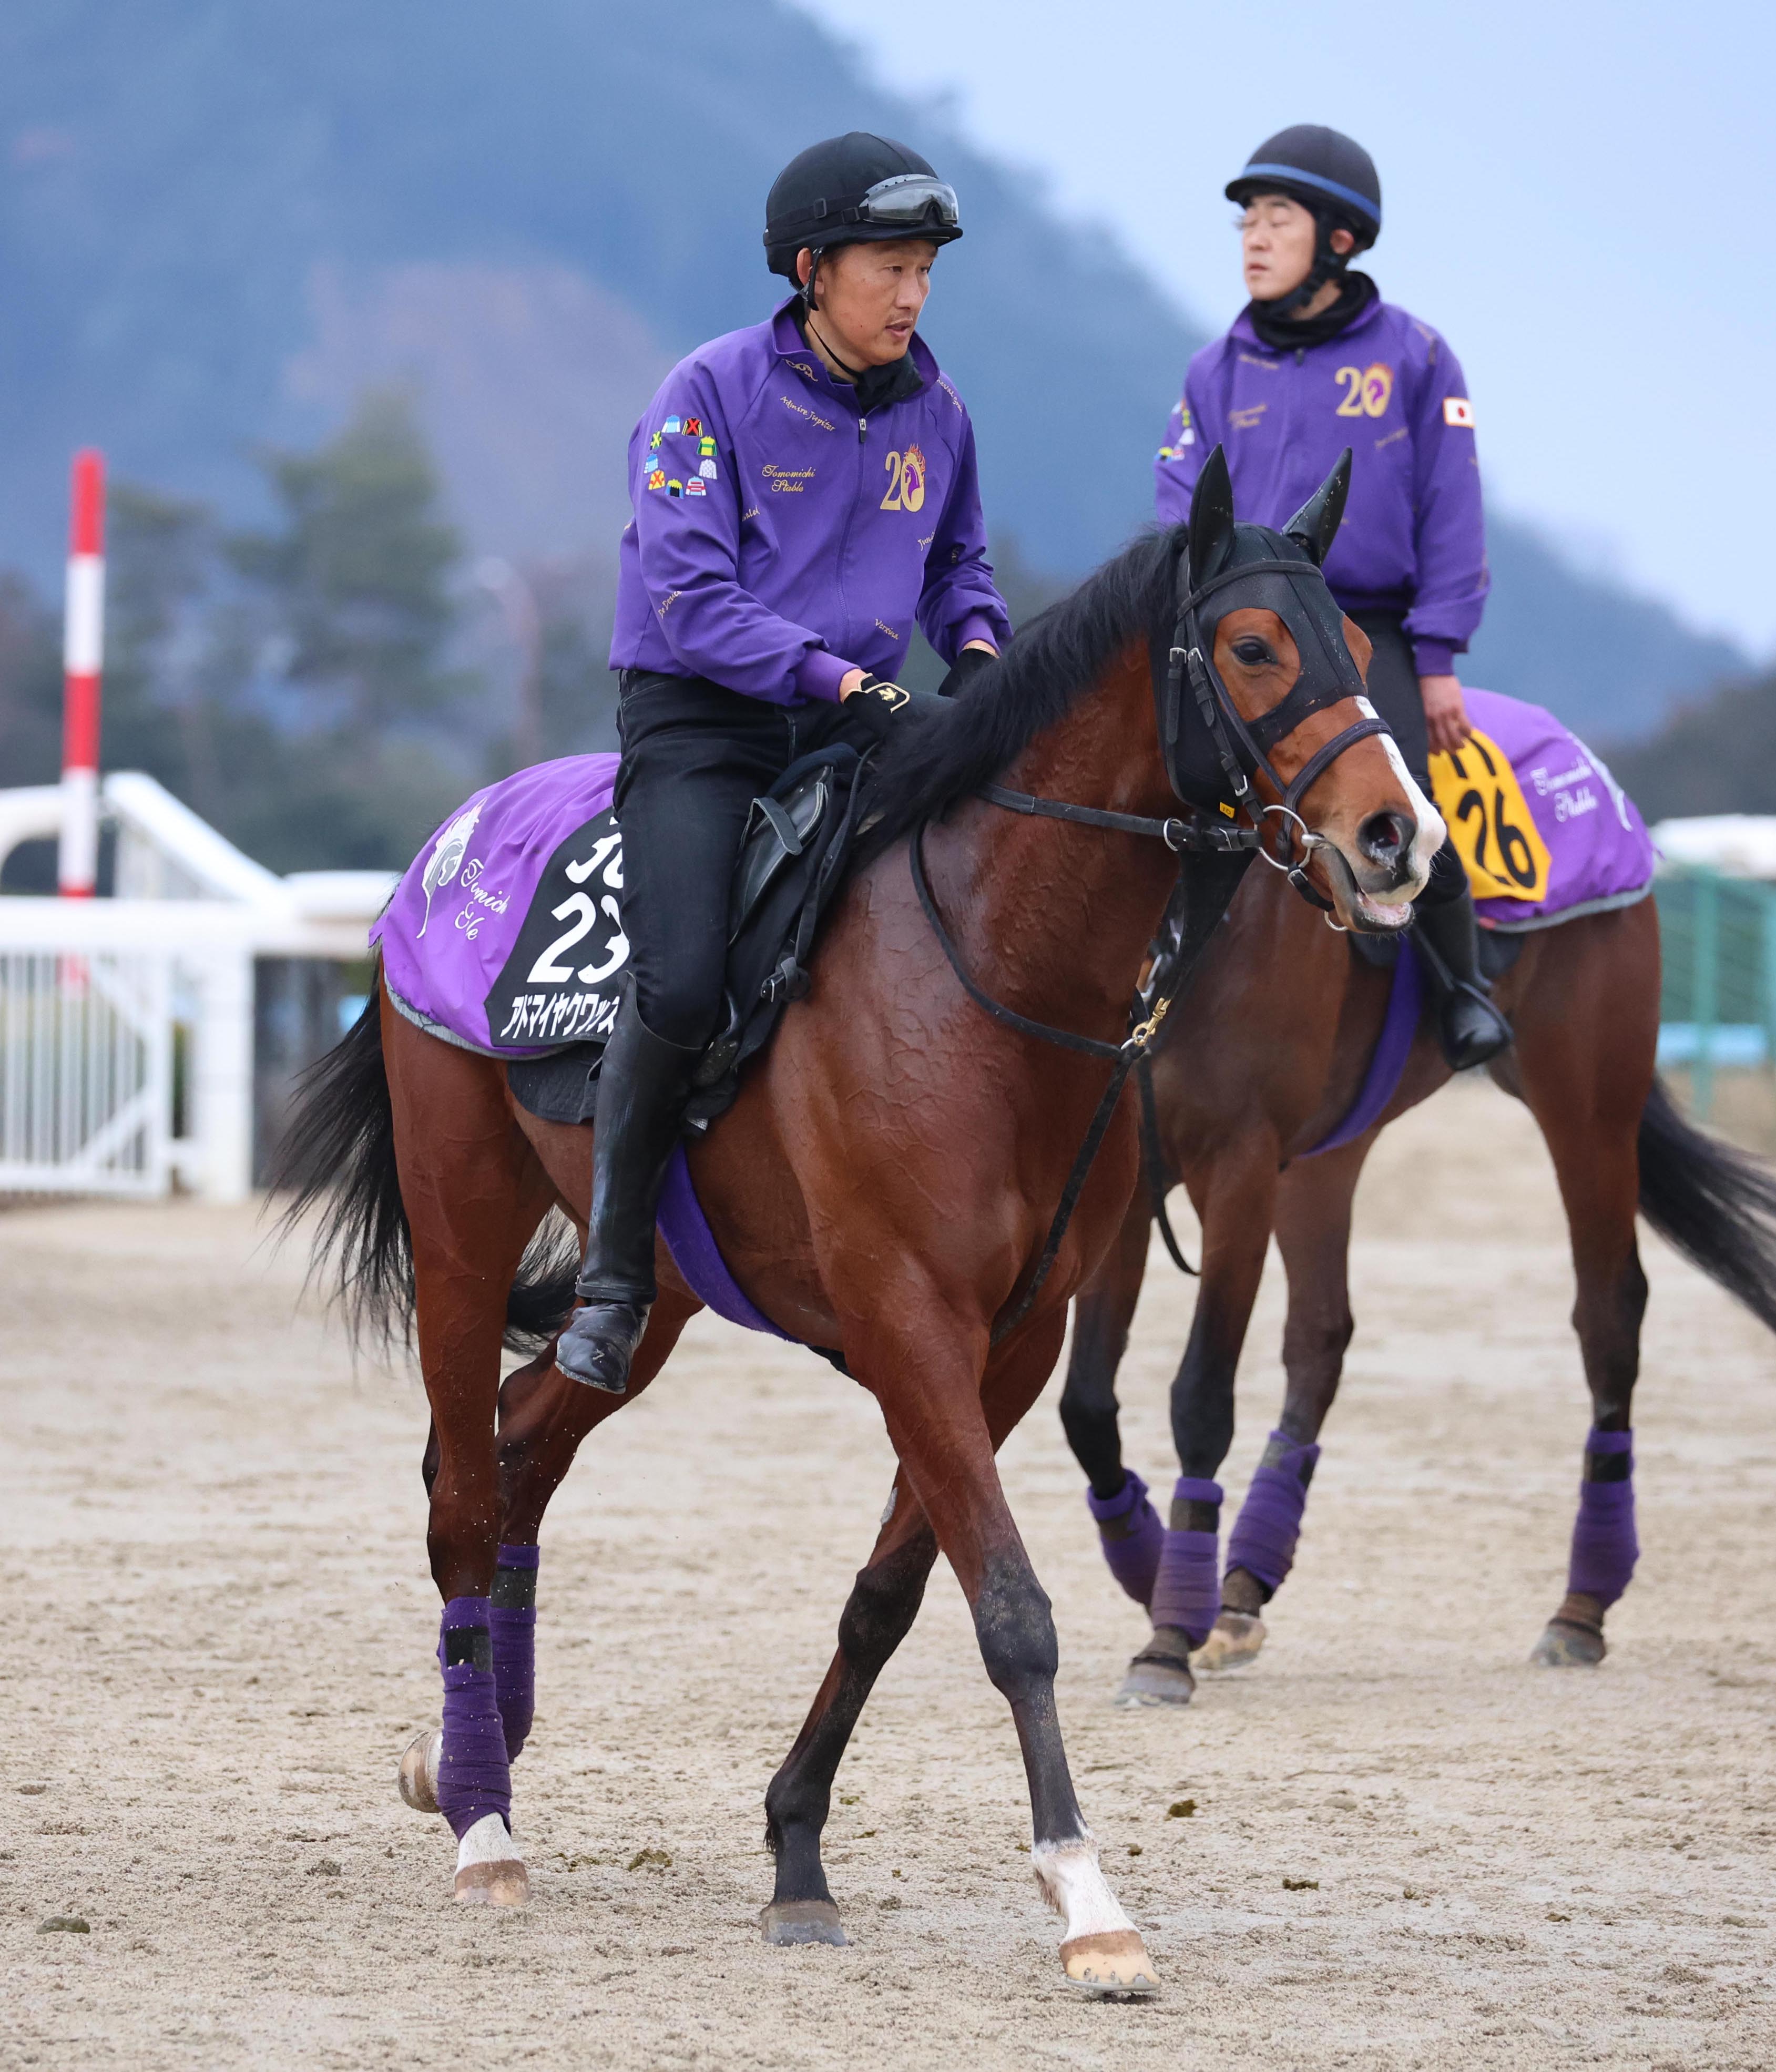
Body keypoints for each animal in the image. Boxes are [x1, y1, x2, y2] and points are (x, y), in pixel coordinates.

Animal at [273, 452, 1444, 1996]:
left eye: (1360, 647)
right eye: (1252, 646)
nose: (1399, 837)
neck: (989, 969)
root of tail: (445, 852)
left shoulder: (1005, 1347)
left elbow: (891, 1599)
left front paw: (795, 1851)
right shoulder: (910, 1323)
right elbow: (1011, 1608)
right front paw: (1088, 1898)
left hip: (649, 1294)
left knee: (525, 1455)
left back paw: (469, 1762)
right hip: (464, 1232)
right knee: (464, 1496)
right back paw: (485, 1827)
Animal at [1057, 857, 1776, 1707]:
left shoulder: (1239, 1167)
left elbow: (1199, 1396)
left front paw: (1168, 1634)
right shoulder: (1131, 1173)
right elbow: (1085, 1406)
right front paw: (1156, 1573)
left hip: (1587, 1106)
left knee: (1609, 1314)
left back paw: (1580, 1608)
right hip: (1329, 1152)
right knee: (1319, 1337)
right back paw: (1237, 1592)